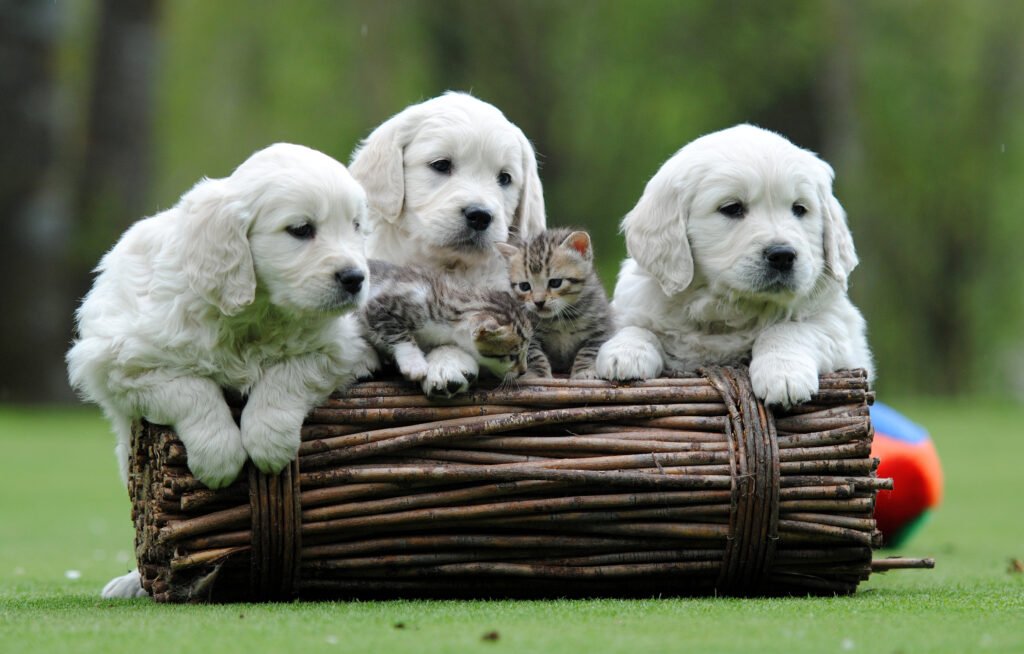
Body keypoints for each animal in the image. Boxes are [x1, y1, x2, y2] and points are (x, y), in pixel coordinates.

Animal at [497, 227, 610, 378]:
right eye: (524, 286)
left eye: (555, 283)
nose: (538, 302)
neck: (561, 319)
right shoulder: (528, 333)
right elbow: (533, 354)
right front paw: (537, 375)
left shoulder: (600, 330)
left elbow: (588, 351)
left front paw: (584, 371)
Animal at [598, 125, 876, 407]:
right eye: (732, 208)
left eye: (799, 208)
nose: (783, 255)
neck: (732, 312)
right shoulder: (634, 306)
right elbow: (637, 327)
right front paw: (625, 353)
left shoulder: (842, 329)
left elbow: (792, 328)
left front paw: (783, 374)